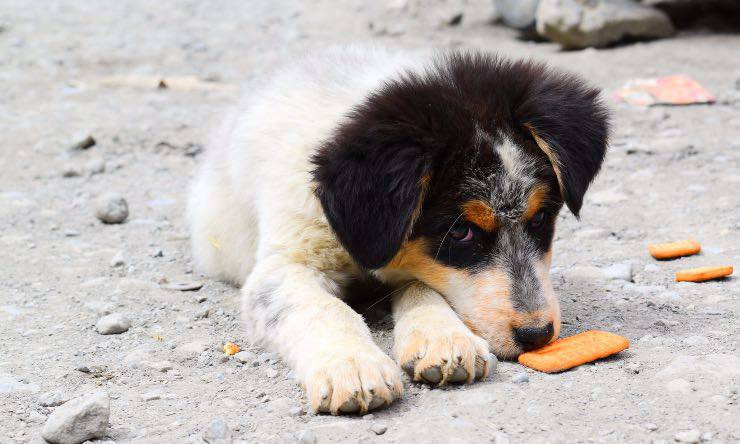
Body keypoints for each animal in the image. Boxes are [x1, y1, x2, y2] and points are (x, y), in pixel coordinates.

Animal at [188, 46, 608, 414]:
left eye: (539, 219)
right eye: (461, 233)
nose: (537, 335)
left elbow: (421, 284)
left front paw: (444, 339)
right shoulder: (285, 263)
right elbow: (323, 307)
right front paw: (353, 366)